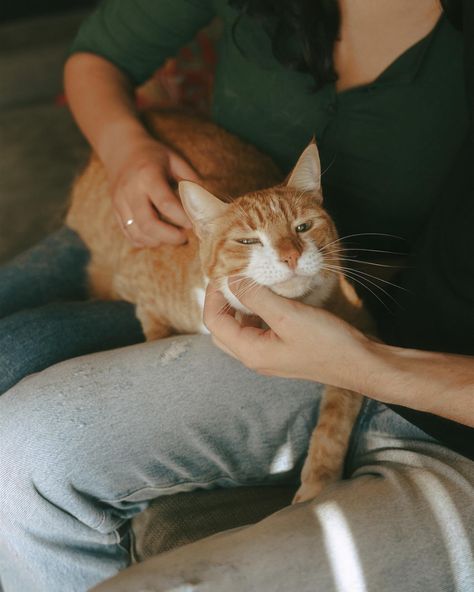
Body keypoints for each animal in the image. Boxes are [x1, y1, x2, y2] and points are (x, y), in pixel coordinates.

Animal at [67, 110, 374, 500]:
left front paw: (319, 486)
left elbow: (336, 415)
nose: (291, 256)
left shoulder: (359, 331)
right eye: (248, 241)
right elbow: (153, 326)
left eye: (303, 227)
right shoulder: (136, 284)